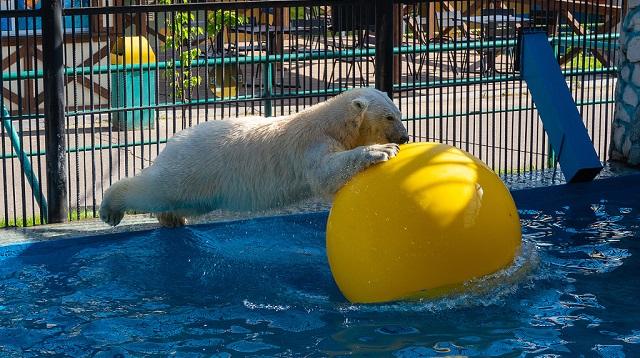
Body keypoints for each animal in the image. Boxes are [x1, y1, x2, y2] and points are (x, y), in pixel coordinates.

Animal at [100, 86, 410, 227]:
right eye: (389, 116)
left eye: (399, 112)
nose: (405, 137)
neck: (331, 121)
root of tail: (173, 141)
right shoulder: (312, 143)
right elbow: (325, 172)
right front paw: (381, 150)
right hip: (193, 168)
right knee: (154, 188)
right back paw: (110, 209)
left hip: (203, 188)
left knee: (181, 202)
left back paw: (172, 219)